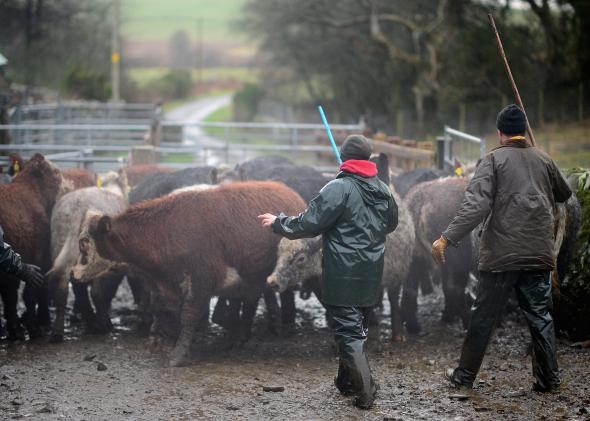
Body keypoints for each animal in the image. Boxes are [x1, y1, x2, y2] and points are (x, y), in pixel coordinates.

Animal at [0, 154, 70, 338]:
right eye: (56, 173)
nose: (69, 187)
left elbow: (11, 295)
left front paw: (16, 329)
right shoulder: (39, 255)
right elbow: (30, 293)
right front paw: (33, 328)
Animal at [91, 180, 310, 364]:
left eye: (98, 248)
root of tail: (286, 189)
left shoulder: (202, 278)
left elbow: (189, 314)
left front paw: (178, 354)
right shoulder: (164, 284)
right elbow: (160, 308)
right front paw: (157, 339)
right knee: (249, 300)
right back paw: (238, 337)